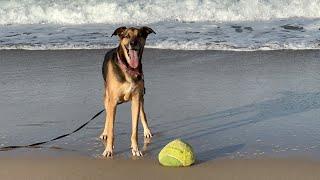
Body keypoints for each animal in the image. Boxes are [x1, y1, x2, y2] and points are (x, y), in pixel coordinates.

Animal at [100, 26, 155, 157]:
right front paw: (108, 149)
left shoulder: (136, 99)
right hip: (106, 98)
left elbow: (135, 128)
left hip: (141, 97)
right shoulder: (113, 102)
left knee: (143, 114)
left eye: (140, 35)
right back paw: (104, 133)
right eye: (127, 36)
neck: (129, 68)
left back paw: (147, 131)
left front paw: (135, 148)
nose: (133, 43)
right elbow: (111, 127)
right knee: (107, 116)